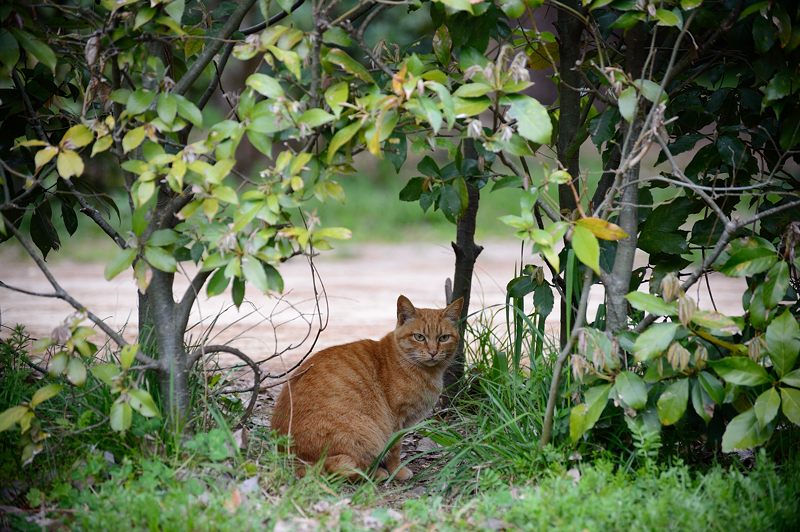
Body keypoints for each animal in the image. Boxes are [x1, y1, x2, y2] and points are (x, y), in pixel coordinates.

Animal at [274, 296, 466, 482]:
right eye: (419, 337)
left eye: (444, 338)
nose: (433, 352)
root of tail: (285, 454)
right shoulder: (397, 419)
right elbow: (395, 449)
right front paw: (397, 471)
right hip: (365, 433)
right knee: (335, 466)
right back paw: (376, 473)